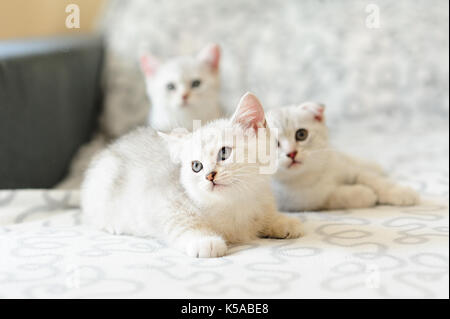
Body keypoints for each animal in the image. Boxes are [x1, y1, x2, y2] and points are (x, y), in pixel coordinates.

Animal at [82, 92, 304, 258]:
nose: (209, 176)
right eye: (196, 166)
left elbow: (266, 215)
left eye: (224, 153)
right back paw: (113, 225)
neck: (233, 204)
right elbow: (182, 222)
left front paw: (281, 221)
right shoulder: (164, 202)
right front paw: (205, 241)